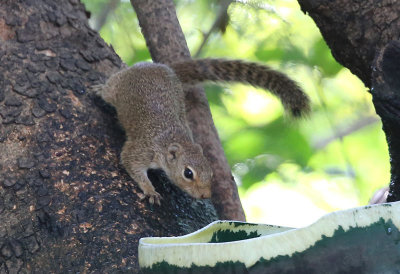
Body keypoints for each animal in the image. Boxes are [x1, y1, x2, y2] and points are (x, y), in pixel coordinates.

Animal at [95, 58, 310, 204]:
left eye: (211, 173)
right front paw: (150, 190)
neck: (175, 140)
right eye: (188, 173)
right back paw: (98, 88)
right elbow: (131, 164)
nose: (205, 195)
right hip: (118, 85)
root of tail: (162, 67)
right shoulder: (142, 149)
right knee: (108, 89)